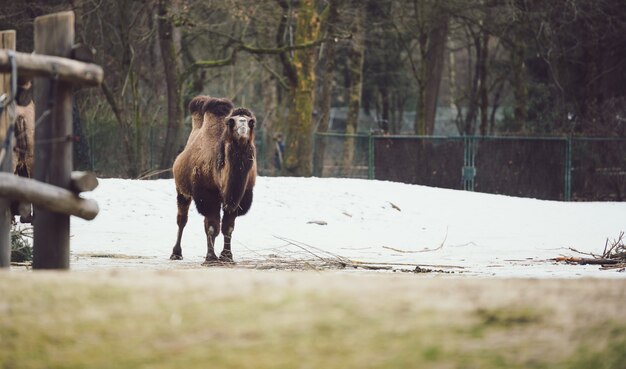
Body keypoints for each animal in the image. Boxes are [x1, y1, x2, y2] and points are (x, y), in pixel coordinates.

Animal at [168, 94, 256, 262]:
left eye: (251, 122)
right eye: (231, 121)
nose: (243, 126)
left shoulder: (240, 196)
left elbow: (228, 227)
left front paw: (227, 256)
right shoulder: (206, 194)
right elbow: (212, 227)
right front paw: (211, 257)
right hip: (181, 189)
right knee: (182, 219)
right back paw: (176, 253)